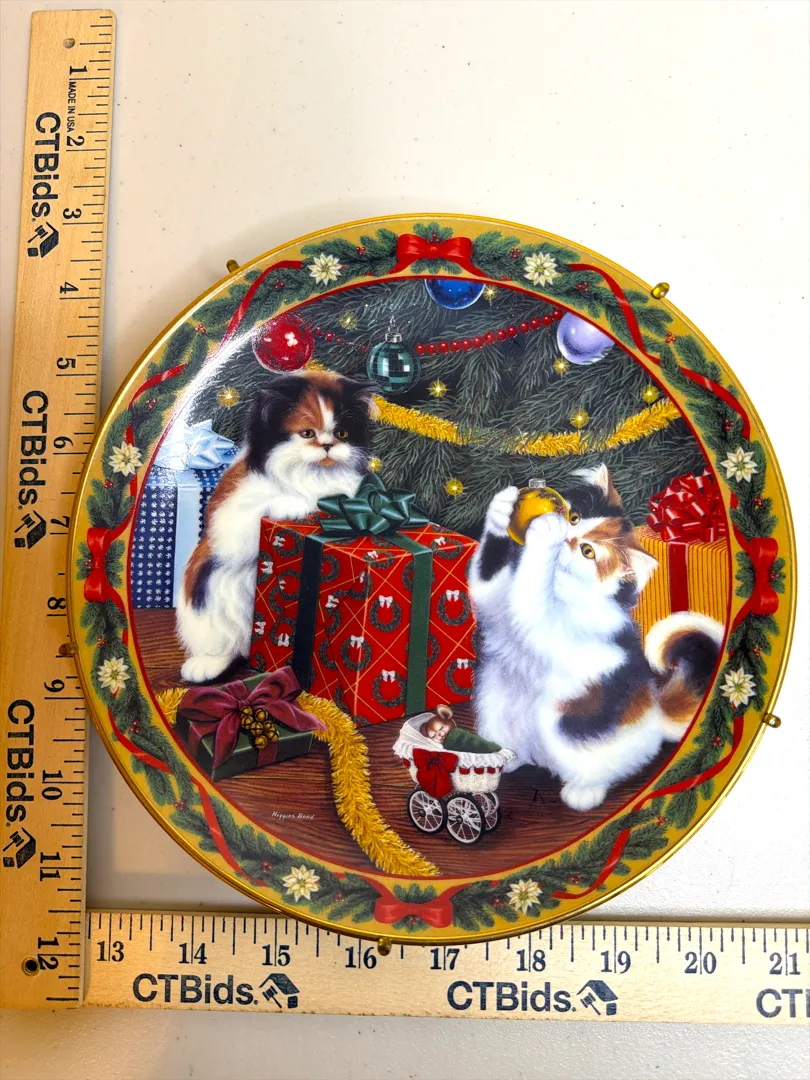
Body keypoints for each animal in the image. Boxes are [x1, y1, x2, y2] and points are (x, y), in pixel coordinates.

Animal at [177, 370, 374, 684]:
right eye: (307, 434)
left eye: (342, 434)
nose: (328, 445)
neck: (312, 475)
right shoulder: (230, 521)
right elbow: (273, 503)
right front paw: (297, 502)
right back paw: (208, 665)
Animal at [468, 465, 724, 811]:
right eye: (575, 518)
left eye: (587, 551)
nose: (567, 535)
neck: (562, 585)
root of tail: (655, 715)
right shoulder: (495, 601)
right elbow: (486, 576)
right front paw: (501, 508)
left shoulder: (543, 620)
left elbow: (532, 589)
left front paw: (545, 532)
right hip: (494, 701)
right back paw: (506, 758)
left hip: (563, 719)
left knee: (610, 766)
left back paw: (584, 791)